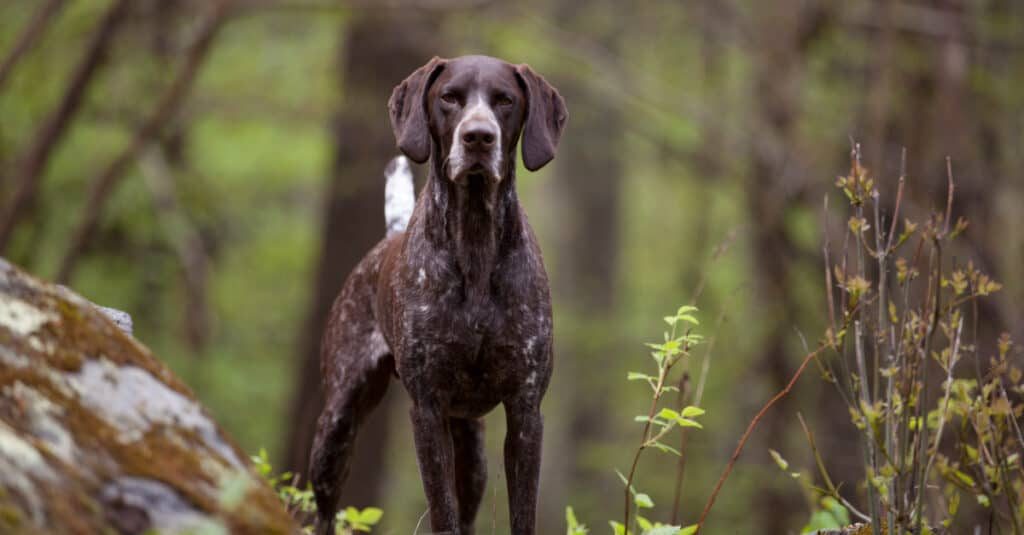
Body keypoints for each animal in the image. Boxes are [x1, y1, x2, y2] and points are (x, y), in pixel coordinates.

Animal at [309, 55, 569, 532]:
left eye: (505, 100)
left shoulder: (525, 410)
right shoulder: (426, 410)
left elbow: (520, 513)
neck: (476, 242)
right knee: (322, 512)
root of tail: (384, 242)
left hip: (472, 451)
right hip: (337, 425)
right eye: (449, 97)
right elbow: (441, 511)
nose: (479, 137)